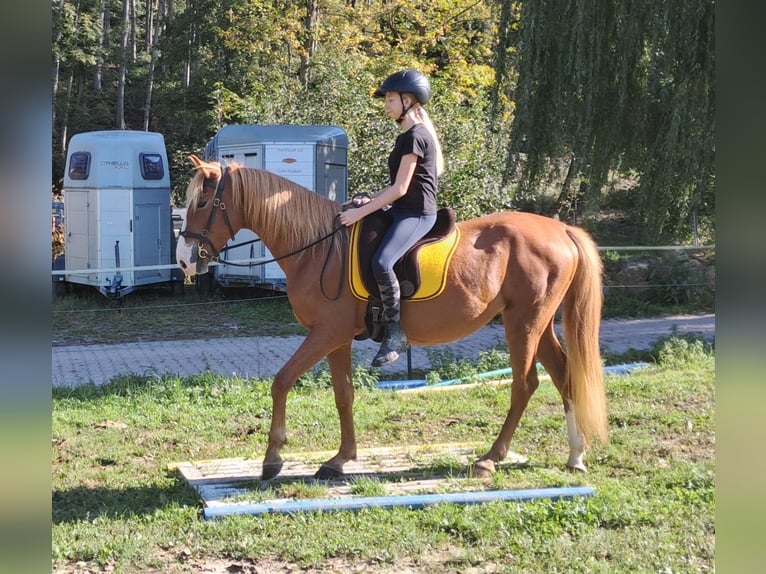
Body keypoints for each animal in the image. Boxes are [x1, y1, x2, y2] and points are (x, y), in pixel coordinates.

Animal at [177, 154, 608, 482]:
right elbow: (344, 395)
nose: (184, 260)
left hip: (524, 324)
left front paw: (273, 459)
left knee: (525, 384)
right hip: (538, 322)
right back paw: (575, 455)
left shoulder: (325, 332)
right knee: (564, 375)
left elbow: (281, 382)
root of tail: (561, 229)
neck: (318, 248)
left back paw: (490, 458)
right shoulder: (336, 338)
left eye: (202, 204)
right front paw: (340, 459)